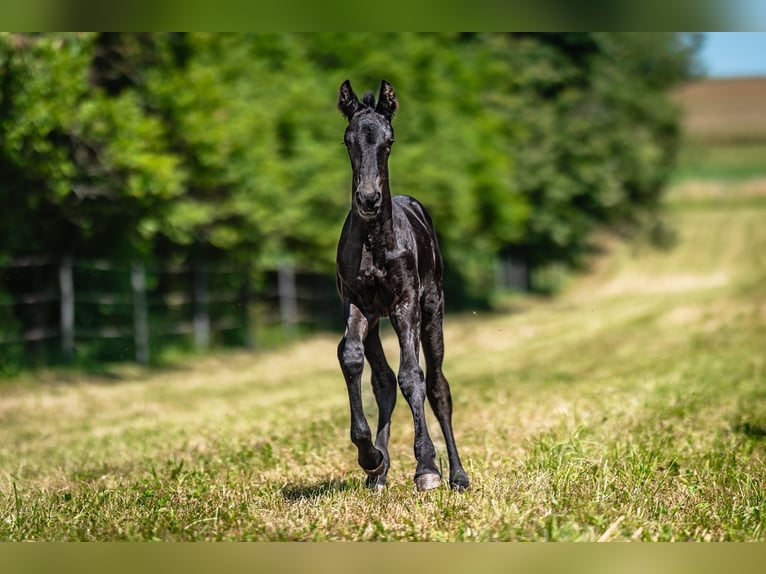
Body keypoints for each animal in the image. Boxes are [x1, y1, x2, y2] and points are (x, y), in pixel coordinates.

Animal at [335, 79, 470, 492]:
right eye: (348, 140)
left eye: (389, 141)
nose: (368, 199)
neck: (375, 242)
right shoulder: (358, 304)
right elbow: (351, 357)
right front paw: (370, 458)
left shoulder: (404, 303)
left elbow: (413, 376)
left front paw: (427, 467)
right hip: (377, 319)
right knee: (382, 382)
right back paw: (379, 472)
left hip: (432, 308)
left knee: (438, 385)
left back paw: (458, 475)